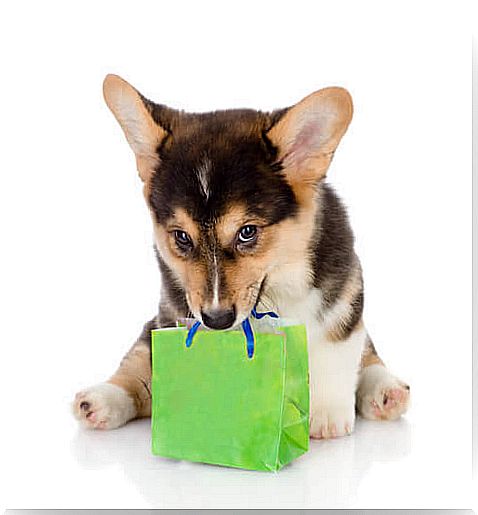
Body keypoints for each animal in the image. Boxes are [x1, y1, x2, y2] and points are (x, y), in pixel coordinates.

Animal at [73, 75, 408, 440]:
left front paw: (326, 417)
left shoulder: (343, 295)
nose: (217, 320)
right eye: (181, 237)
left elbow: (337, 348)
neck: (275, 282)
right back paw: (99, 401)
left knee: (369, 356)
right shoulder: (172, 312)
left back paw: (387, 393)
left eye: (247, 232)